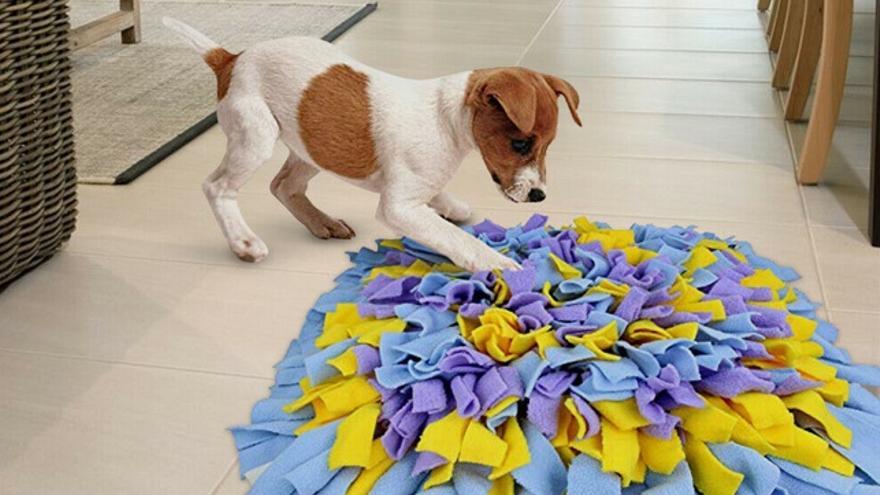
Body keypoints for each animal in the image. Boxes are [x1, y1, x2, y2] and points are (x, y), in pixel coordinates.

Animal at [163, 18, 584, 272]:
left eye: (549, 144)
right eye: (520, 143)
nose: (539, 196)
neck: (445, 118)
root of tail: (230, 59)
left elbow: (441, 201)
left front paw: (449, 205)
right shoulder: (398, 207)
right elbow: (455, 238)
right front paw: (500, 266)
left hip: (313, 141)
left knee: (284, 186)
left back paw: (322, 222)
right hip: (256, 135)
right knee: (217, 186)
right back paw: (243, 242)